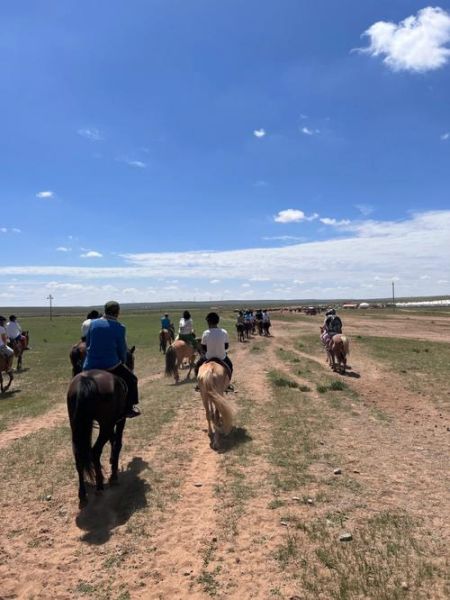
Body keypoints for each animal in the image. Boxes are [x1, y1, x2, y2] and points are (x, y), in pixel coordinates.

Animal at [66, 346, 134, 506]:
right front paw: (114, 472)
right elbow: (117, 442)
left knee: (79, 455)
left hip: (77, 426)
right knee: (95, 451)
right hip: (105, 425)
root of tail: (86, 380)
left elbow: (113, 439)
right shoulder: (119, 420)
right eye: (131, 359)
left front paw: (112, 461)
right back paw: (100, 484)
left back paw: (83, 494)